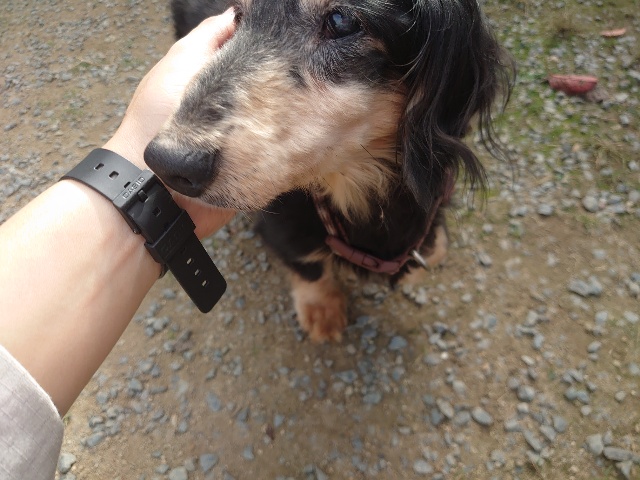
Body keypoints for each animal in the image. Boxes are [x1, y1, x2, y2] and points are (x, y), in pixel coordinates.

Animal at [145, 0, 514, 342]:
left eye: (340, 20)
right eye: (238, 16)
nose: (166, 162)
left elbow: (434, 250)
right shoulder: (283, 223)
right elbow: (307, 262)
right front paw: (321, 308)